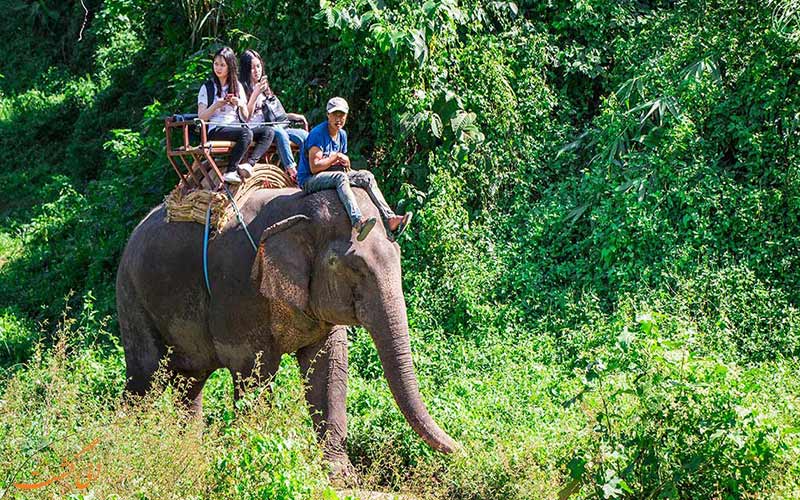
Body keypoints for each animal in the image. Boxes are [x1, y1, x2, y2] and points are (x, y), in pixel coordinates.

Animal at [115, 184, 460, 476]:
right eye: (354, 267)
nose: (462, 450)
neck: (298, 209)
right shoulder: (238, 286)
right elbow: (253, 370)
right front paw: (254, 462)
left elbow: (328, 368)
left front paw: (340, 475)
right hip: (132, 296)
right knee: (146, 376)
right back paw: (128, 445)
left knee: (190, 383)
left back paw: (188, 454)